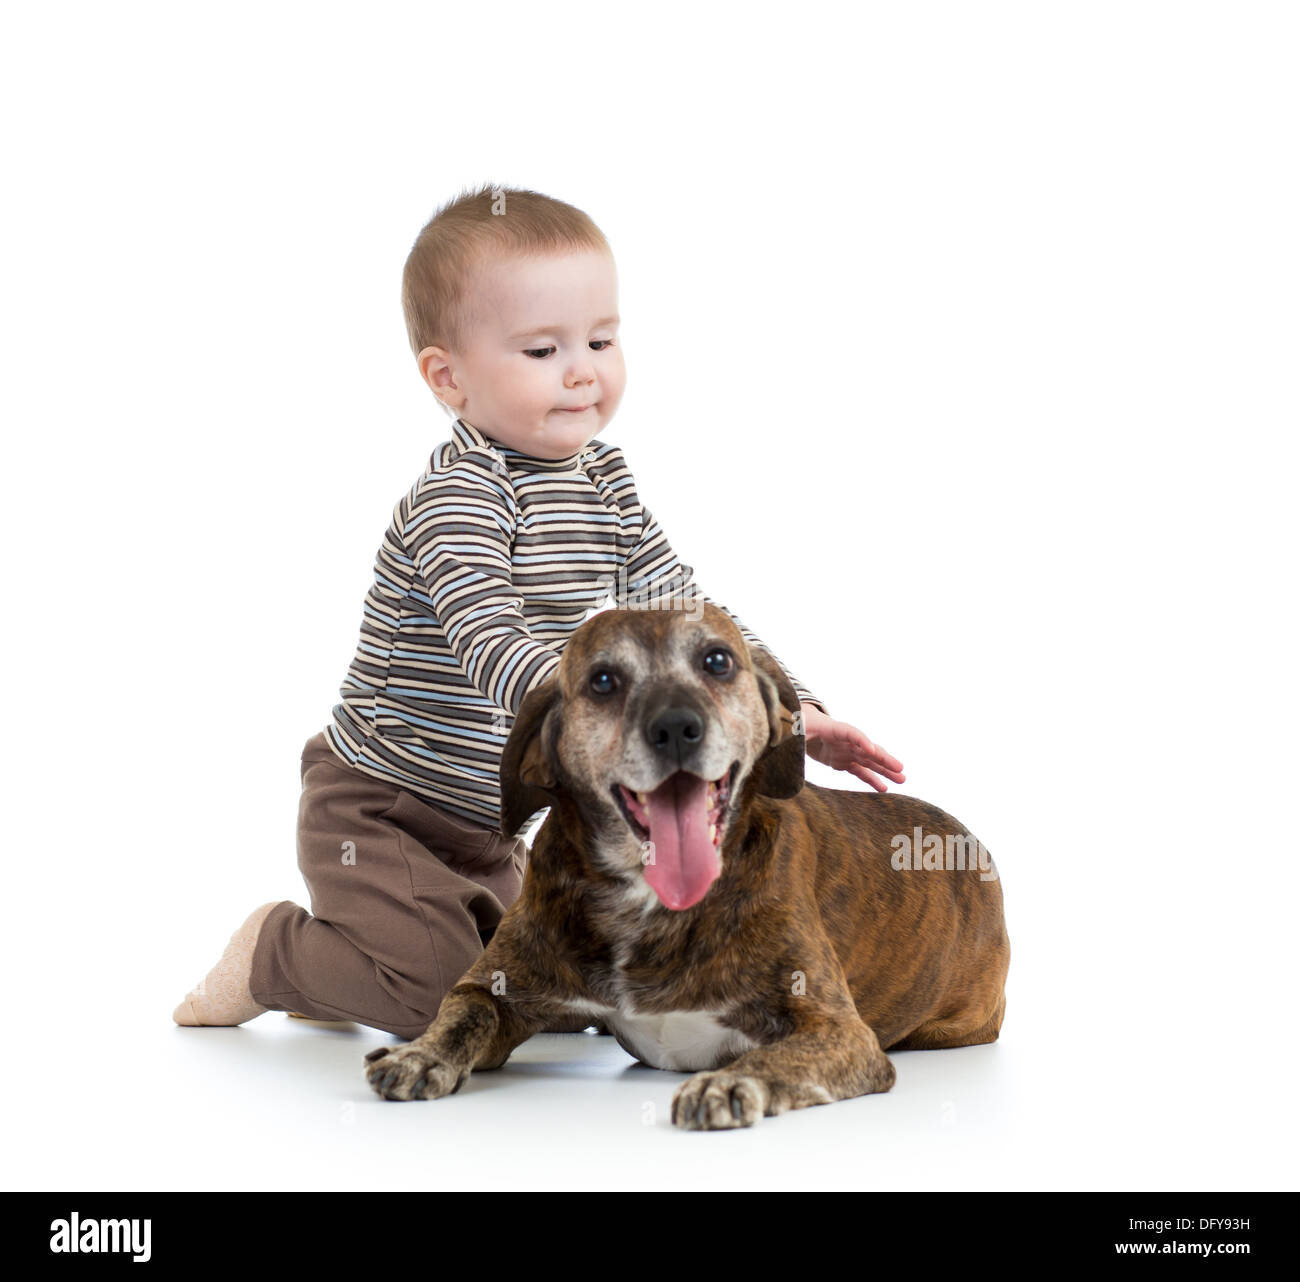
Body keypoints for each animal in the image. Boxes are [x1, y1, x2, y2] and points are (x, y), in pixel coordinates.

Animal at [361, 600, 1008, 1128]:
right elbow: (462, 1013)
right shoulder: (497, 988)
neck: (647, 903)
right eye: (603, 680)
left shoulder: (839, 1031)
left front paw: (730, 1082)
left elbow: (781, 1055)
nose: (676, 727)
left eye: (717, 661)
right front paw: (419, 1052)